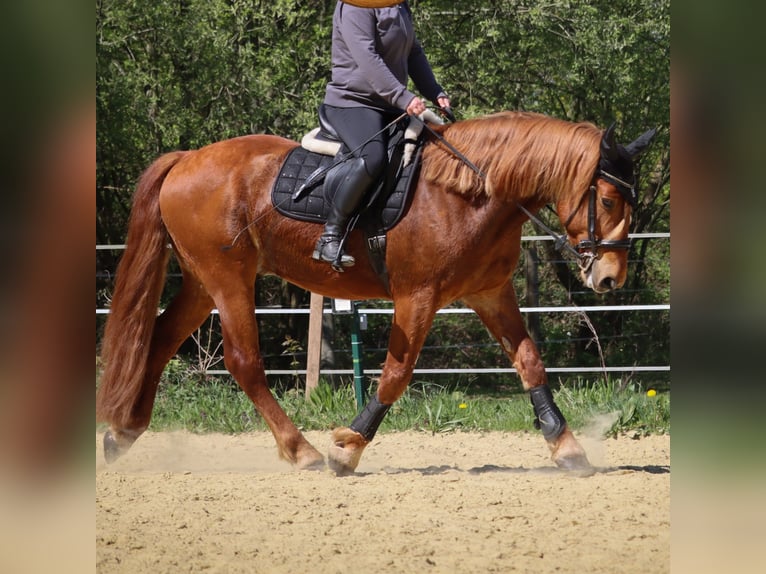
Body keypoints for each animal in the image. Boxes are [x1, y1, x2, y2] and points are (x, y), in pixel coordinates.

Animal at [96, 110, 656, 474]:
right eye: (608, 199)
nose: (610, 278)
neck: (469, 192)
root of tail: (186, 159)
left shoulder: (490, 293)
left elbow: (530, 362)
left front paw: (567, 448)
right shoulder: (417, 297)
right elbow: (395, 375)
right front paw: (348, 448)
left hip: (201, 282)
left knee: (160, 340)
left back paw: (123, 433)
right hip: (227, 279)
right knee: (243, 362)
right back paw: (302, 451)